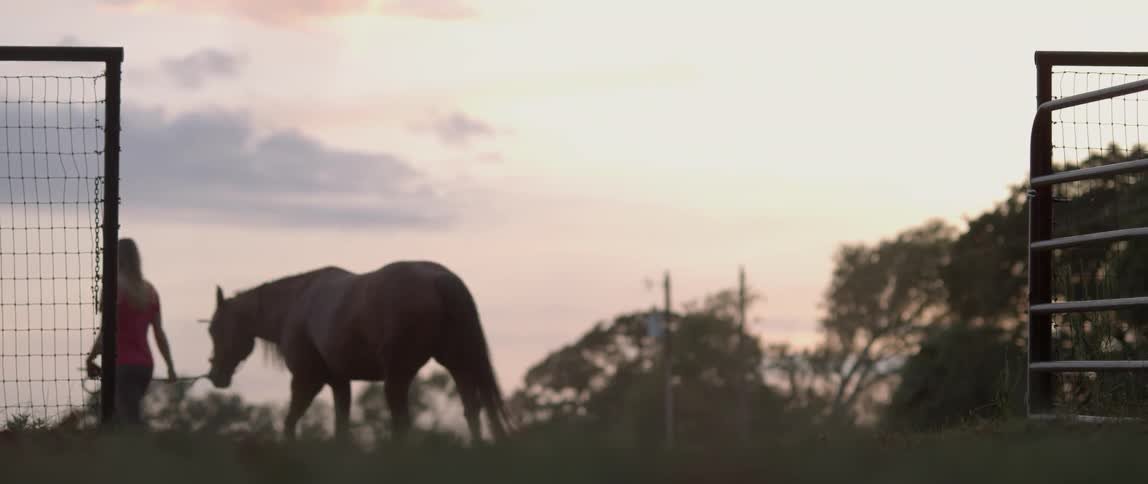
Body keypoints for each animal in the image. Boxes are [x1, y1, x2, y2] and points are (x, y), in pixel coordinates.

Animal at [203, 261, 511, 443]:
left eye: (216, 329)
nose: (216, 375)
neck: (295, 304)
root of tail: (440, 279)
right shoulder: (340, 382)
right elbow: (341, 428)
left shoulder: (307, 380)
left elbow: (290, 423)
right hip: (458, 364)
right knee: (472, 409)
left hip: (398, 376)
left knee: (403, 421)